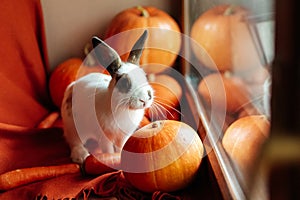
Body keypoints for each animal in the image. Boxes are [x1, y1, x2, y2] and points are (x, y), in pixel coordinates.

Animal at [61, 30, 155, 163]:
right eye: (124, 83)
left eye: (145, 76)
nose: (145, 99)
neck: (123, 109)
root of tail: (71, 87)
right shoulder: (104, 138)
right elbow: (108, 151)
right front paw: (111, 158)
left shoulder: (123, 136)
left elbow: (121, 147)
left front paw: (120, 155)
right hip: (73, 127)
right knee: (74, 141)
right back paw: (80, 156)